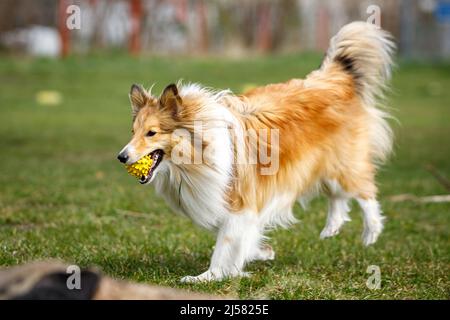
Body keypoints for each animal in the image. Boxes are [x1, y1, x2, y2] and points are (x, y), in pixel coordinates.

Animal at [118, 21, 396, 282]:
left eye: (151, 133)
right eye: (132, 131)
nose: (121, 157)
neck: (196, 152)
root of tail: (332, 80)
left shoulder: (240, 202)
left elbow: (224, 244)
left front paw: (207, 277)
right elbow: (239, 238)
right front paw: (260, 252)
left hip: (344, 162)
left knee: (365, 192)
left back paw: (371, 232)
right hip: (320, 165)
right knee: (337, 195)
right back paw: (332, 228)